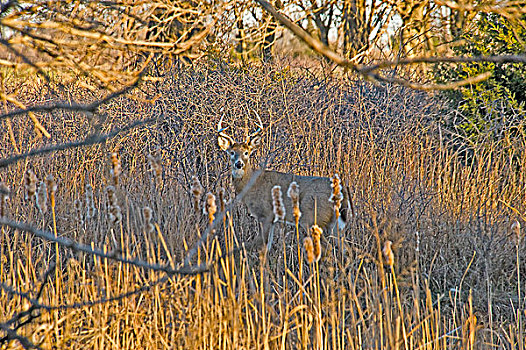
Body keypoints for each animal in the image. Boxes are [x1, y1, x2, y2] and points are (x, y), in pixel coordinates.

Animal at [219, 113, 354, 247]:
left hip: (312, 218)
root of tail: (340, 191)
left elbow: (263, 245)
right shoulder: (272, 219)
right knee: (346, 248)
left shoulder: (265, 214)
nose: (239, 164)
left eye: (246, 152)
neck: (251, 183)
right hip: (334, 223)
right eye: (232, 152)